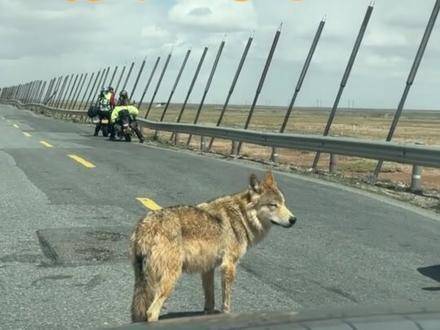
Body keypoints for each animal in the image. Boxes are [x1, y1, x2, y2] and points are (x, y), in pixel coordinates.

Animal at [129, 171, 298, 320]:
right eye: (273, 205)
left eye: (283, 203)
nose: (293, 220)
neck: (242, 216)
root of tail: (145, 225)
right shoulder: (229, 266)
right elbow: (226, 302)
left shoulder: (208, 269)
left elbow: (210, 300)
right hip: (170, 280)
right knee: (151, 312)